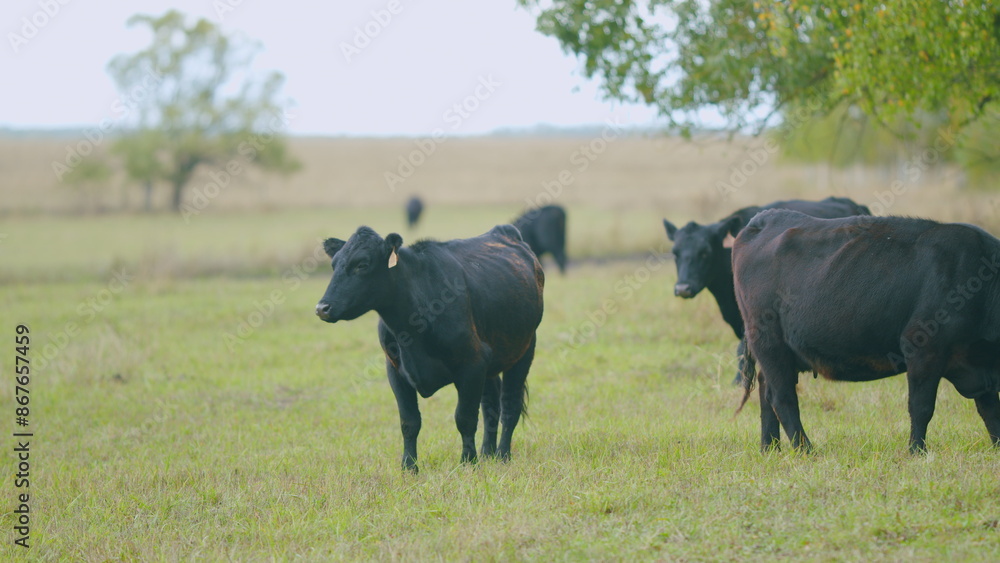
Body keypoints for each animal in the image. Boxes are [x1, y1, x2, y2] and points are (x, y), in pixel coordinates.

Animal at [315, 225, 545, 472]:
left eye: (362, 264)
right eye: (333, 265)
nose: (322, 308)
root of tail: (505, 231)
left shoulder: (471, 364)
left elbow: (465, 418)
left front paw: (468, 462)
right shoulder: (396, 371)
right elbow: (409, 421)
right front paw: (409, 467)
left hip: (524, 349)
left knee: (509, 406)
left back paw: (502, 455)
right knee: (491, 405)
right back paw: (488, 454)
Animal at [733, 209, 1000, 453]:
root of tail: (764, 219)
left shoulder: (982, 365)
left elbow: (990, 411)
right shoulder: (923, 347)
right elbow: (922, 407)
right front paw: (917, 451)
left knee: (766, 390)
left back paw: (770, 448)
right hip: (768, 341)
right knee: (782, 397)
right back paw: (806, 450)